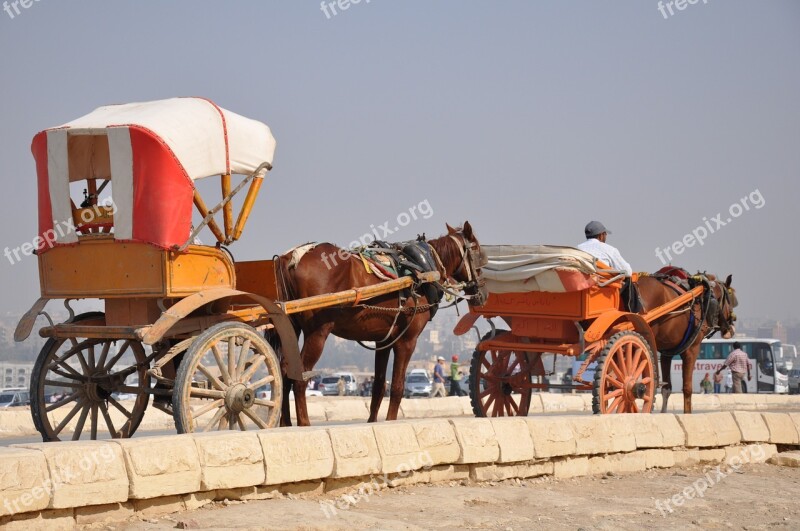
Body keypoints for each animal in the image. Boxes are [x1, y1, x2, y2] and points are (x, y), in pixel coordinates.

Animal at [276, 222, 488, 426]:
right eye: (478, 252)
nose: (483, 293)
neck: (423, 269)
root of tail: (290, 258)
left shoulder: (383, 341)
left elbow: (379, 386)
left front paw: (372, 421)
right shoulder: (407, 340)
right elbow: (397, 386)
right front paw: (391, 420)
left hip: (291, 328)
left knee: (284, 371)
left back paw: (286, 423)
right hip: (317, 331)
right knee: (300, 376)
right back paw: (303, 423)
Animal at [636, 272, 736, 414]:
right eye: (729, 300)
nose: (730, 329)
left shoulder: (667, 353)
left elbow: (667, 388)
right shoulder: (692, 349)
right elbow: (687, 388)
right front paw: (687, 414)